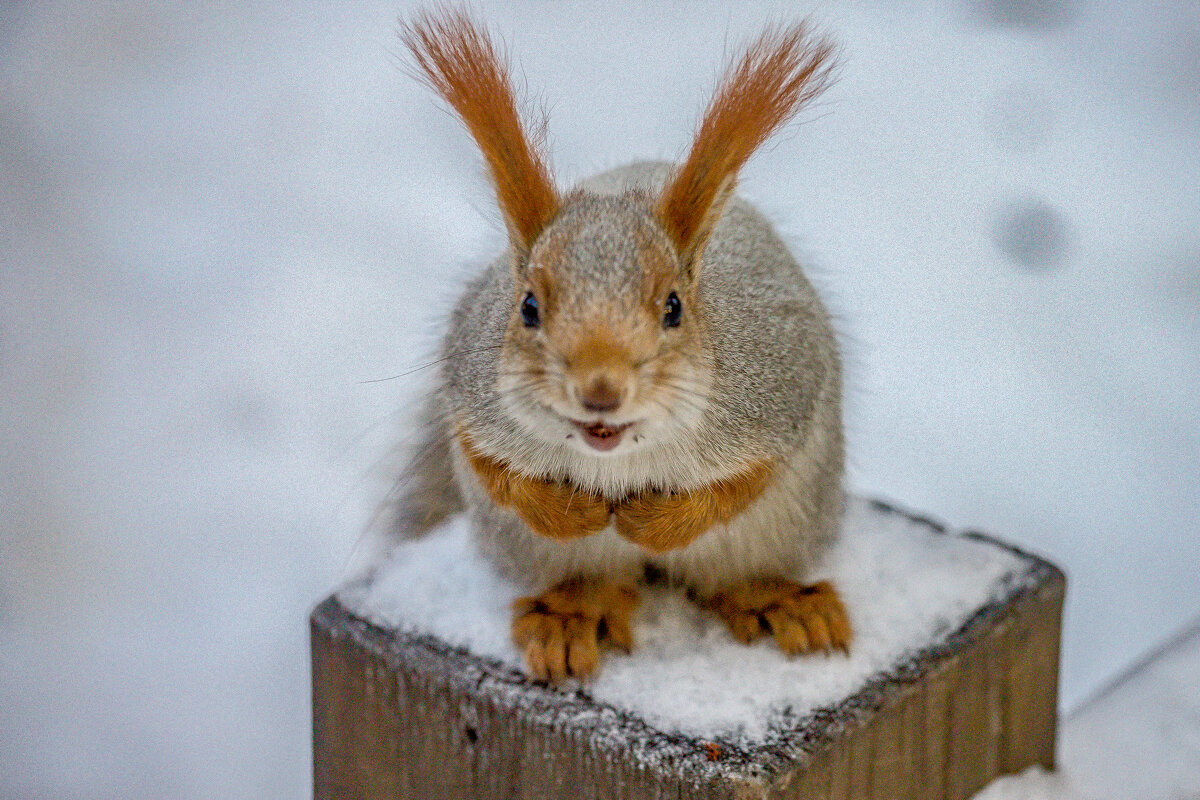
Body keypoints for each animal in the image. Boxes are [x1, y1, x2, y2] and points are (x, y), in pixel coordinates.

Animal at [398, 9, 849, 681]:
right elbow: (494, 471)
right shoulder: (469, 385)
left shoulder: (780, 384)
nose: (600, 391)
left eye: (674, 308)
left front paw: (654, 521)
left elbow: (743, 484)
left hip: (783, 528)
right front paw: (570, 511)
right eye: (527, 307)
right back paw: (570, 616)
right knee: (592, 581)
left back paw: (778, 601)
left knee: (739, 574)